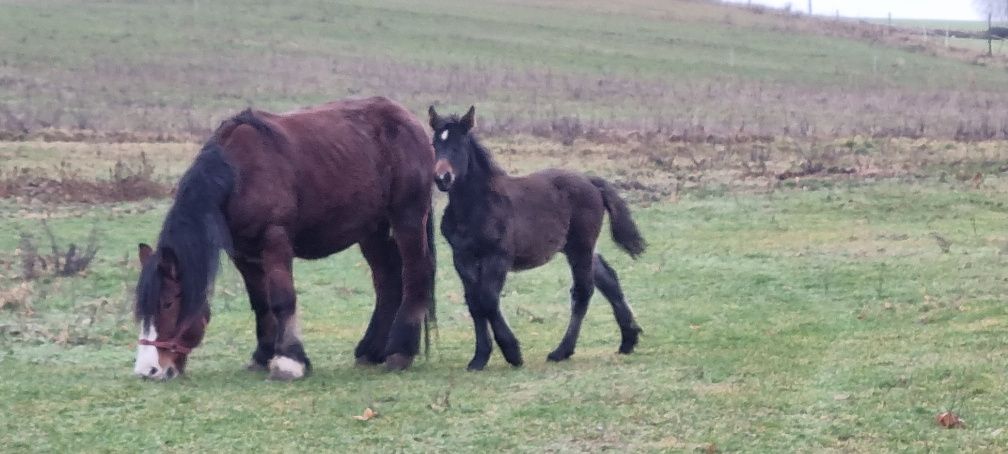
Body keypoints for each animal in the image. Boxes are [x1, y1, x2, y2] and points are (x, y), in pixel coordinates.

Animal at [427, 107, 645, 373]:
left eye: (459, 145)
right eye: (435, 144)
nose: (442, 178)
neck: (476, 205)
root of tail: (591, 182)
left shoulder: (498, 257)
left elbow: (487, 298)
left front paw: (512, 353)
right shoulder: (462, 257)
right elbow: (474, 302)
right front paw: (479, 358)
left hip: (580, 246)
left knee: (583, 291)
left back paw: (561, 351)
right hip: (572, 247)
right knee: (607, 276)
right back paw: (628, 339)